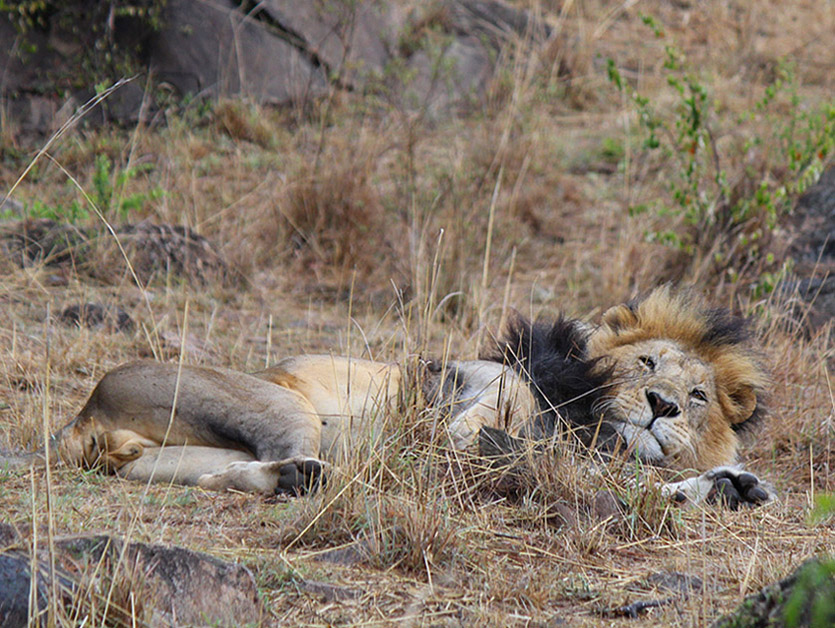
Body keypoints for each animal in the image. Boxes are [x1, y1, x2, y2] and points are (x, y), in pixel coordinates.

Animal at [0, 287, 771, 507]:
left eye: (697, 395)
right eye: (646, 362)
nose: (662, 406)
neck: (589, 422)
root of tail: (80, 417)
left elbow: (631, 488)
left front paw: (728, 486)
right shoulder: (476, 384)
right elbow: (483, 427)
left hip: (164, 459)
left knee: (226, 474)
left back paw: (289, 479)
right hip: (284, 403)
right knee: (298, 451)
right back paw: (321, 478)